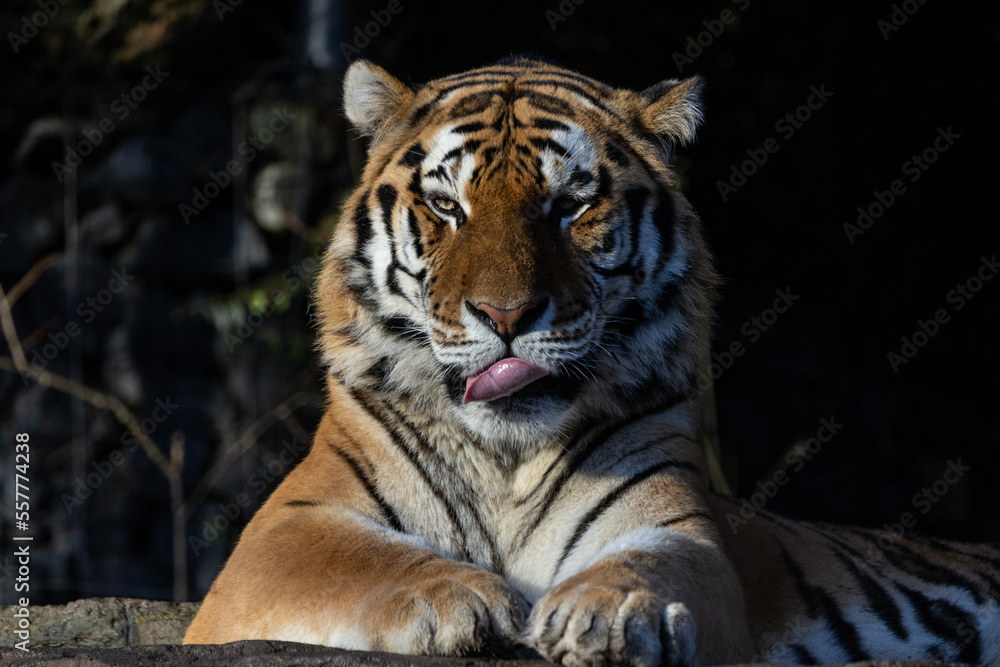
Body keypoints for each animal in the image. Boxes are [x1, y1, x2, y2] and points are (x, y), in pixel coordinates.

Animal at [184, 57, 1000, 665]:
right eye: (448, 206)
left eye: (571, 206)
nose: (506, 317)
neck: (505, 461)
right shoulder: (281, 532)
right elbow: (356, 560)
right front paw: (460, 601)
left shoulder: (678, 526)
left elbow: (651, 563)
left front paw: (611, 613)